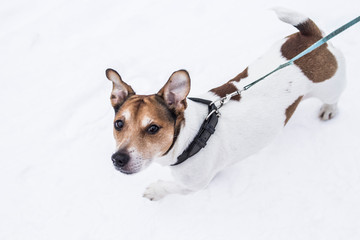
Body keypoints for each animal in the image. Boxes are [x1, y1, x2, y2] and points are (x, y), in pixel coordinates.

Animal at [105, 7, 346, 201]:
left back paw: (329, 109)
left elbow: (171, 186)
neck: (191, 138)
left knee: (333, 98)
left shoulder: (193, 185)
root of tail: (312, 37)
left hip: (331, 85)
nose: (118, 159)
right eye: (119, 124)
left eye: (153, 128)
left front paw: (155, 191)